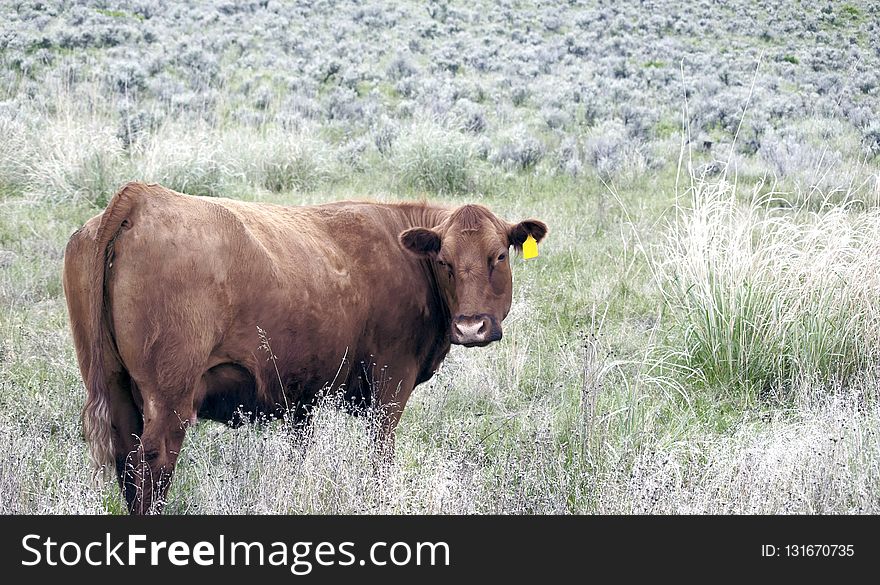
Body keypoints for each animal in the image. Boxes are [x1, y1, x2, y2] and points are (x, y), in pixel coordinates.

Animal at [62, 181, 548, 512]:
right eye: (444, 261)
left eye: (498, 256)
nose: (471, 327)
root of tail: (143, 197)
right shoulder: (391, 382)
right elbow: (380, 456)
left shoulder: (302, 395)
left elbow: (300, 453)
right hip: (170, 399)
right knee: (152, 467)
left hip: (115, 388)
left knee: (126, 463)